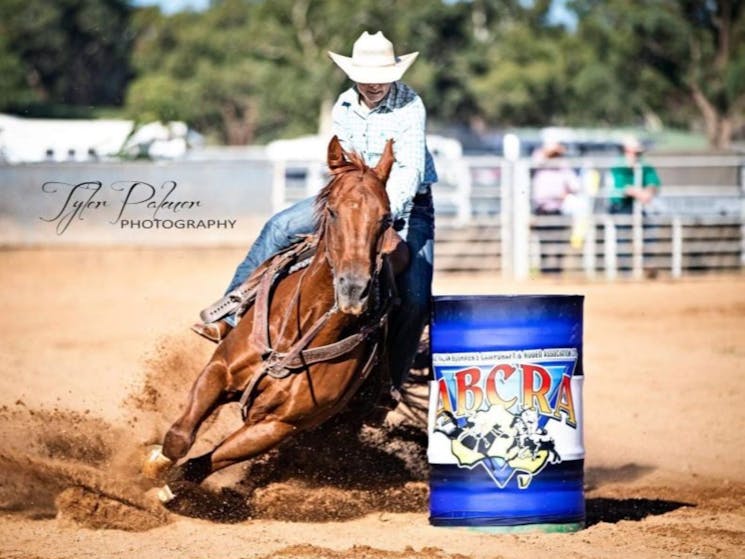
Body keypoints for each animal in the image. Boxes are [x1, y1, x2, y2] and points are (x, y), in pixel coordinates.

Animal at [145, 136, 402, 498]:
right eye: (333, 211)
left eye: (386, 218)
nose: (353, 289)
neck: (298, 330)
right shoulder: (219, 370)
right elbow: (180, 437)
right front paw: (153, 464)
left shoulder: (276, 425)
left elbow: (201, 464)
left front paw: (167, 488)